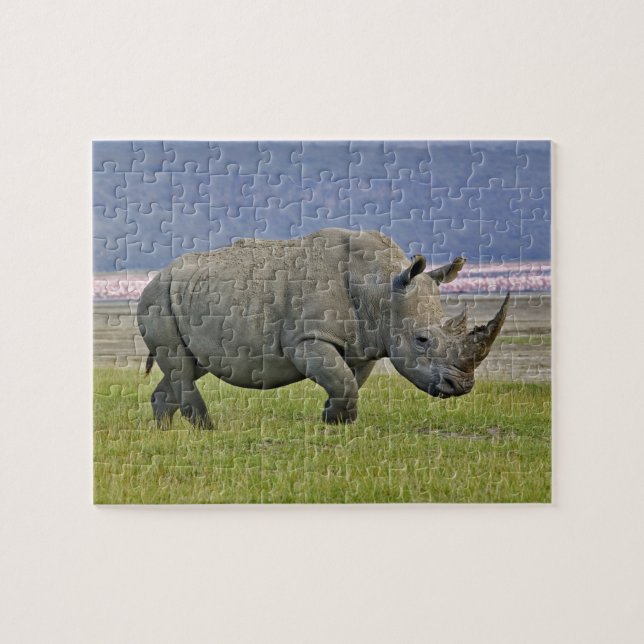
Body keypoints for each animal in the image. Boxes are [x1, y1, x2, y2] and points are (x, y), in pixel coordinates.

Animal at [137, 228, 509, 428]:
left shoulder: (366, 342)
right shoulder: (307, 338)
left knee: (189, 365)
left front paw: (333, 420)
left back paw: (165, 432)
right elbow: (343, 381)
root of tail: (155, 276)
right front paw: (337, 420)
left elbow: (348, 381)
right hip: (157, 299)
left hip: (186, 296)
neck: (381, 288)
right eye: (422, 339)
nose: (461, 386)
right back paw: (208, 430)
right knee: (179, 365)